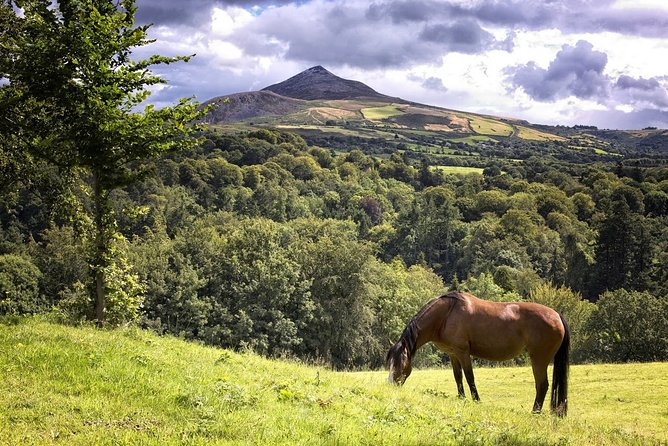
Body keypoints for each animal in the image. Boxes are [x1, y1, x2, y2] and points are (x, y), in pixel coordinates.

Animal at [386, 290, 568, 416]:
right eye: (390, 362)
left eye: (401, 363)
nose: (391, 385)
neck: (446, 314)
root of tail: (557, 315)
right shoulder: (453, 354)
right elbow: (458, 377)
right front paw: (461, 398)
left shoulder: (463, 352)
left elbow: (469, 377)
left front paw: (476, 400)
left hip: (539, 359)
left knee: (542, 385)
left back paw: (534, 412)